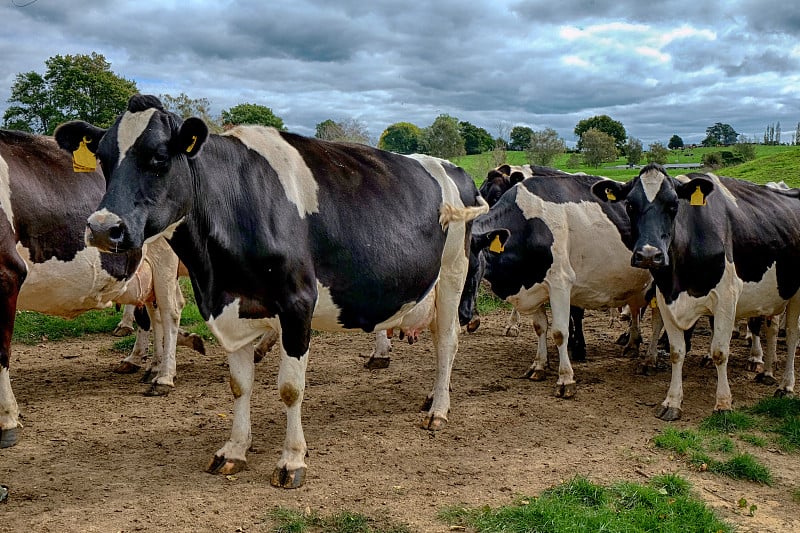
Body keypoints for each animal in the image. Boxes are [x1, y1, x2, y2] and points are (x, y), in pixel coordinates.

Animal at [0, 128, 188, 444]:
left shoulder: (7, 272)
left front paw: (7, 421)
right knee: (155, 313)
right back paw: (152, 366)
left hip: (164, 257)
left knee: (170, 312)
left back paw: (164, 377)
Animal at [54, 94, 488, 486]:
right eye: (104, 160)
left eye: (159, 158)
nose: (102, 228)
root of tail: (453, 168)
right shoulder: (230, 307)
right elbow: (239, 385)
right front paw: (234, 450)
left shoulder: (297, 304)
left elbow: (290, 389)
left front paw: (292, 460)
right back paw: (434, 396)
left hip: (454, 271)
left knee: (447, 341)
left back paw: (439, 410)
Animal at [462, 172, 656, 396]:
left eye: (473, 267)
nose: (463, 315)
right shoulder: (535, 286)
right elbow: (540, 327)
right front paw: (538, 366)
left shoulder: (560, 283)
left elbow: (560, 332)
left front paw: (565, 379)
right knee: (635, 309)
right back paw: (632, 343)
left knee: (659, 320)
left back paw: (651, 359)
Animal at [592, 162, 800, 420]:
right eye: (630, 205)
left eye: (674, 205)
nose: (649, 255)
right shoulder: (666, 298)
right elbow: (676, 351)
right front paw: (672, 402)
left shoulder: (726, 298)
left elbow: (720, 351)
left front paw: (723, 403)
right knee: (772, 328)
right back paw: (768, 374)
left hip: (797, 293)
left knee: (791, 335)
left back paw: (786, 386)